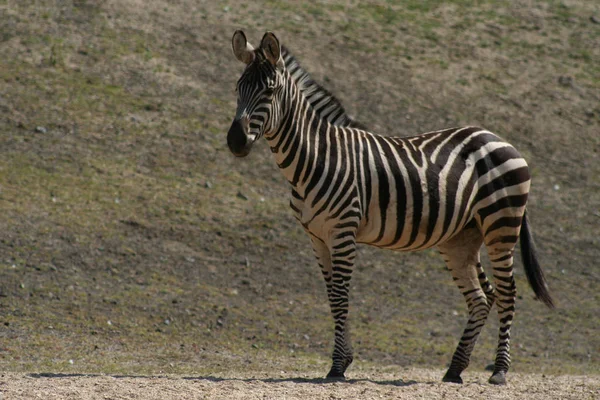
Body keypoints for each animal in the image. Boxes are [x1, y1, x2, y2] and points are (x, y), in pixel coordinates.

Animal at [227, 29, 556, 386]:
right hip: (461, 238)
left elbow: (341, 296)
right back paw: (454, 370)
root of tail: (501, 139)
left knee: (508, 293)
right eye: (238, 88)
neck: (317, 156)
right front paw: (342, 361)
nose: (235, 141)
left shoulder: (343, 231)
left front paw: (338, 366)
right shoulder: (316, 237)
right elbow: (331, 297)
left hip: (501, 224)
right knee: (482, 298)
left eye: (270, 90)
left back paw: (499, 371)